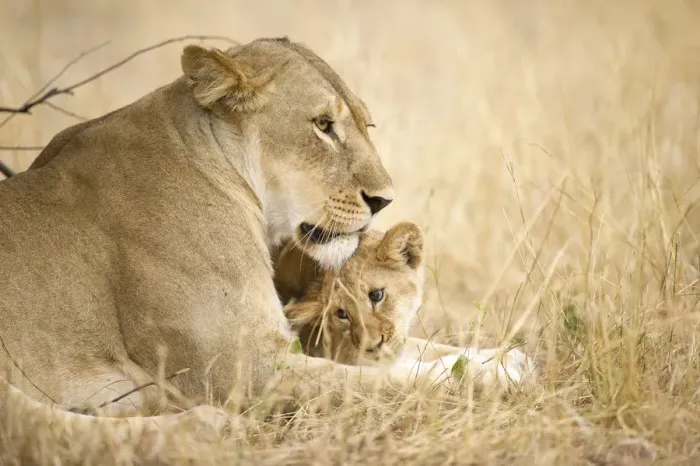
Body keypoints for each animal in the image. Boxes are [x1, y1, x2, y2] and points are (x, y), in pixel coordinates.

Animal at [0, 36, 470, 428]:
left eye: (366, 126)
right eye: (322, 125)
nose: (383, 200)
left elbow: (429, 350)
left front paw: (485, 359)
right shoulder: (248, 371)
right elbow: (387, 382)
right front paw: (475, 382)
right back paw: (202, 423)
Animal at [274, 221, 535, 391]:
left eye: (376, 295)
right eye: (341, 313)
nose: (371, 345)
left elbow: (432, 348)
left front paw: (507, 357)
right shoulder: (341, 355)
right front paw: (483, 374)